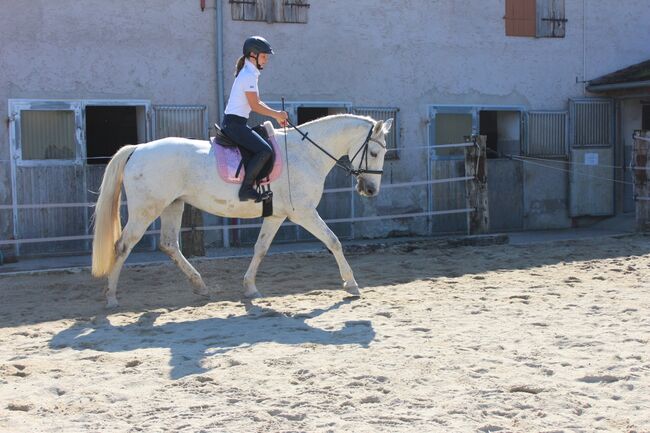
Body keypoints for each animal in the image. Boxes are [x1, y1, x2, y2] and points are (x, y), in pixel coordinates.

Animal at [92, 113, 390, 306]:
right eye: (375, 153)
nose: (370, 190)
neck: (305, 155)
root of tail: (138, 149)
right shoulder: (303, 213)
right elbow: (334, 241)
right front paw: (351, 284)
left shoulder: (277, 215)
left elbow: (261, 249)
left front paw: (250, 288)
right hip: (146, 210)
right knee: (123, 246)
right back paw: (111, 297)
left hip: (173, 206)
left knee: (169, 245)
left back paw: (200, 287)